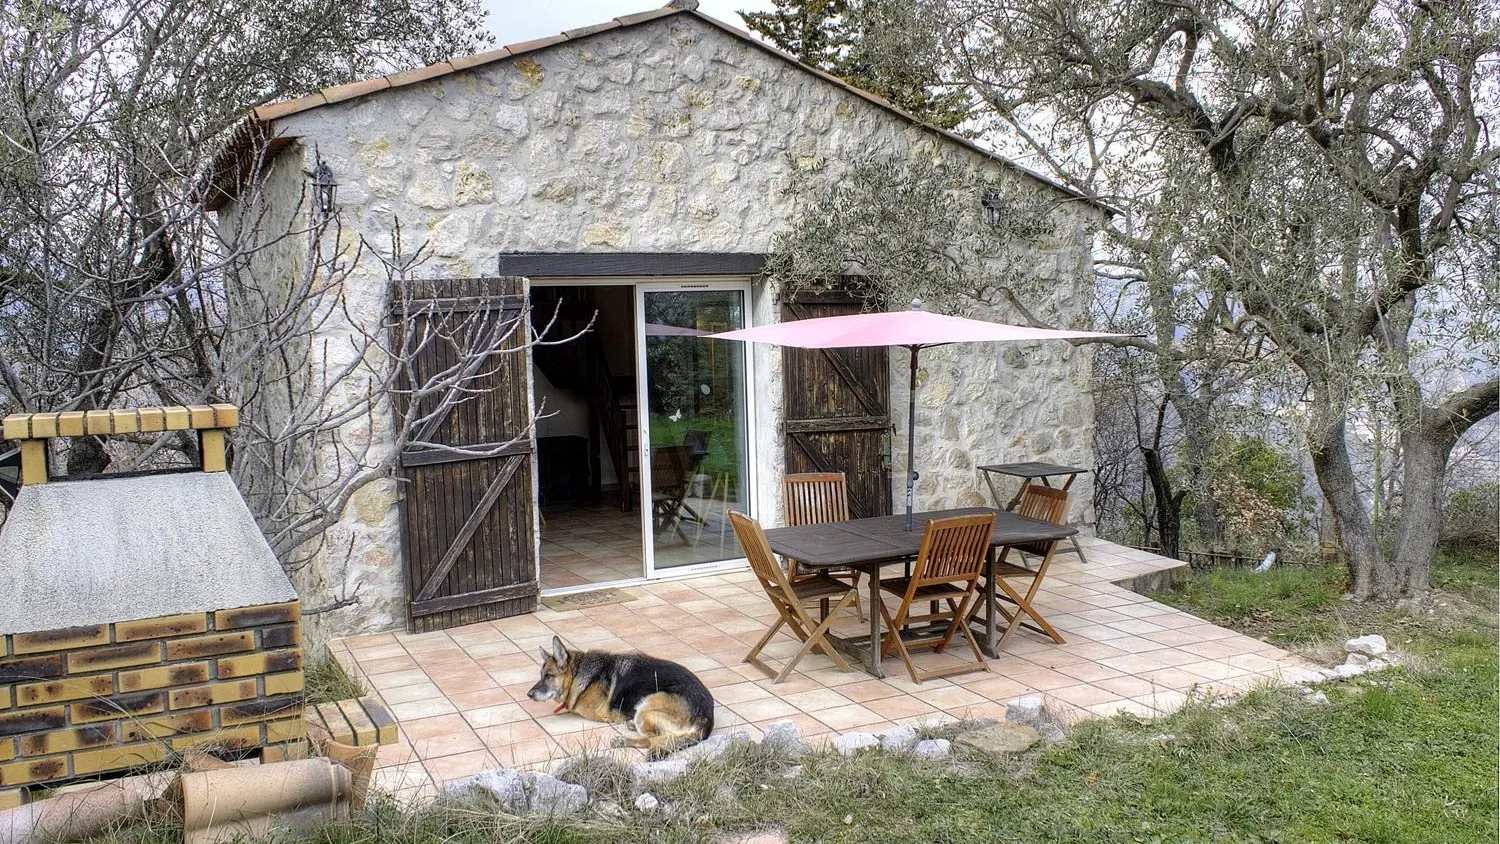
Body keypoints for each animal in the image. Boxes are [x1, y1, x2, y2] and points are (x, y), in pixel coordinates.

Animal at [528, 635, 714, 758]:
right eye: (541, 675)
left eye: (548, 676)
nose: (528, 695)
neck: (578, 673)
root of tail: (706, 716)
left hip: (647, 704)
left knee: (654, 739)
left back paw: (624, 740)